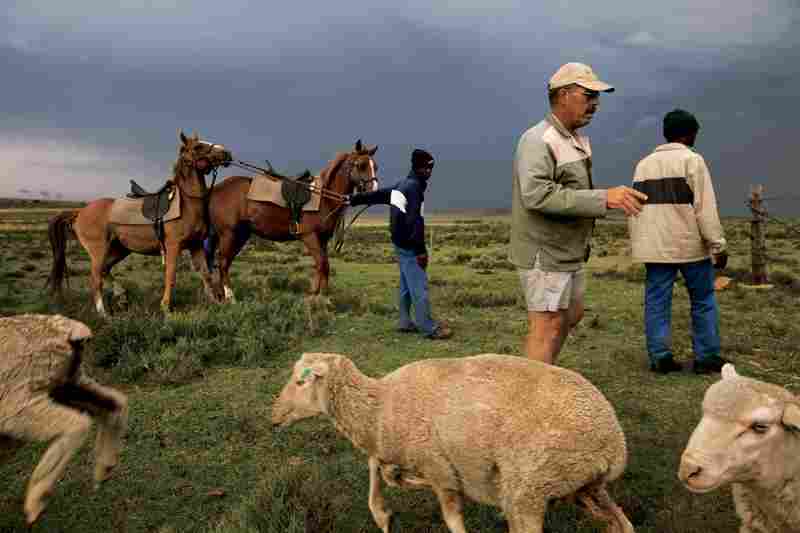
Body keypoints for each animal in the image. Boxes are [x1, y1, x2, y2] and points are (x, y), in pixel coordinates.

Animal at [0, 312, 128, 524]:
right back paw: (104, 468)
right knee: (116, 403)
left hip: (18, 399)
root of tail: (70, 329)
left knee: (76, 424)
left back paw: (36, 499)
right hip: (67, 382)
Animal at [48, 131, 231, 314]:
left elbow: (206, 275)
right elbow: (171, 276)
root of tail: (80, 212)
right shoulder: (173, 246)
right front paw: (166, 307)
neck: (187, 204)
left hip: (119, 249)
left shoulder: (196, 245)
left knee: (105, 270)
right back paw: (104, 313)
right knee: (95, 279)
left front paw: (216, 303)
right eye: (198, 146)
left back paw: (121, 296)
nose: (226, 153)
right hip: (98, 251)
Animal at [209, 139, 378, 302]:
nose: (374, 192)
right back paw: (230, 297)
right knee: (223, 262)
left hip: (241, 234)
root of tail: (216, 189)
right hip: (228, 234)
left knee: (225, 262)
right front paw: (314, 295)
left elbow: (325, 266)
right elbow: (321, 264)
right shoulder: (310, 236)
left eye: (375, 166)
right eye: (361, 165)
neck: (323, 198)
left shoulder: (322, 239)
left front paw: (323, 295)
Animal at [272, 352, 636, 528]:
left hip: (529, 490)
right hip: (586, 488)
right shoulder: (393, 445)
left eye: (301, 381)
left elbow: (451, 518)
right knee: (622, 525)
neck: (380, 403)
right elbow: (378, 467)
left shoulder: (438, 468)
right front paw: (384, 512)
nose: (274, 414)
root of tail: (613, 444)